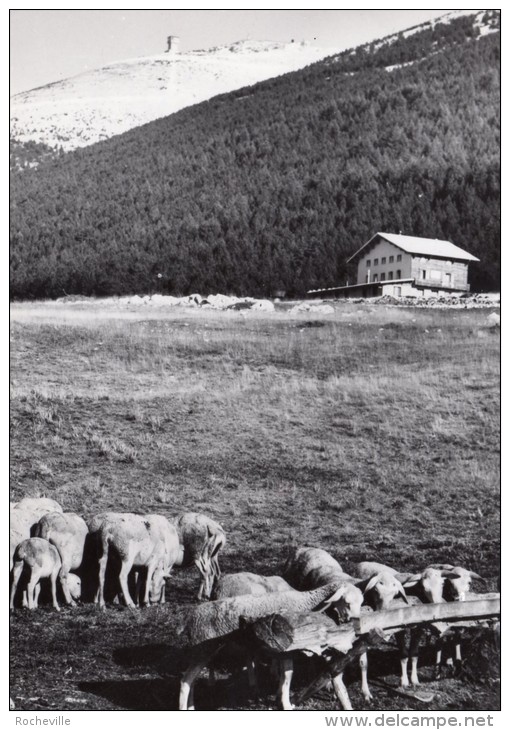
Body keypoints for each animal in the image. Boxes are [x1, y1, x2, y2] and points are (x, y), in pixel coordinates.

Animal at [177, 576, 364, 708]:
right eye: (347, 602)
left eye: (361, 602)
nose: (356, 622)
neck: (307, 602)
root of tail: (189, 617)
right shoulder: (288, 646)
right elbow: (288, 675)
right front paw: (287, 704)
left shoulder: (281, 648)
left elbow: (284, 675)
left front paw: (279, 696)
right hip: (203, 648)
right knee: (185, 681)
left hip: (203, 650)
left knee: (191, 681)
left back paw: (191, 707)